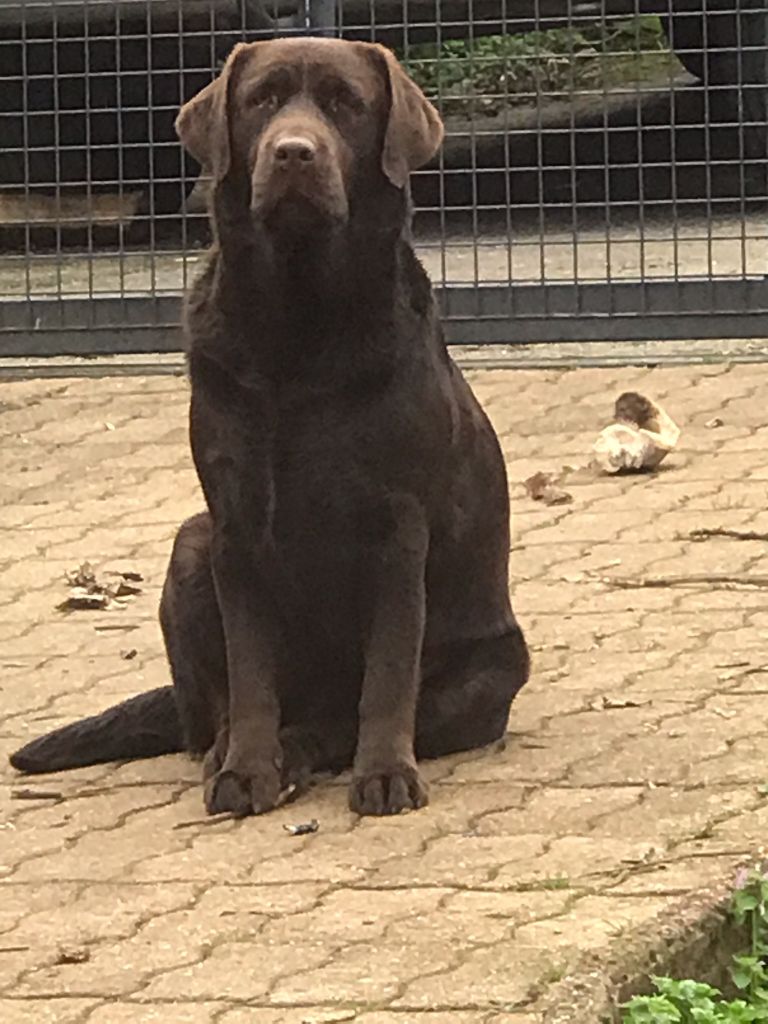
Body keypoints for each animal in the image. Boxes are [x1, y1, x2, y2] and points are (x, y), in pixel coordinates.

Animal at [10, 39, 528, 819]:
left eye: (346, 103)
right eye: (261, 100)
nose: (293, 153)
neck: (297, 326)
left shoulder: (398, 528)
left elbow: (387, 674)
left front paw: (385, 773)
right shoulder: (233, 526)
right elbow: (250, 672)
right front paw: (246, 769)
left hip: (491, 668)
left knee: (341, 718)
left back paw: (306, 752)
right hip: (189, 546)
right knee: (216, 712)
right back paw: (240, 754)